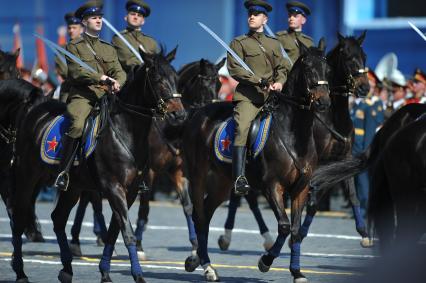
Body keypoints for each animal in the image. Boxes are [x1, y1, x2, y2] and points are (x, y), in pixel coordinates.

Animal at [134, 58, 226, 262]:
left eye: (220, 84)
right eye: (204, 84)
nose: (216, 110)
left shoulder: (178, 172)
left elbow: (188, 207)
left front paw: (195, 246)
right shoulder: (149, 171)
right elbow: (144, 208)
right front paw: (138, 247)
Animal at [182, 40, 330, 283]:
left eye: (328, 69)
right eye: (308, 69)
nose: (323, 102)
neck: (294, 134)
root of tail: (197, 114)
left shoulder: (300, 189)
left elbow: (296, 231)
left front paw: (297, 272)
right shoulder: (272, 187)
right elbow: (284, 226)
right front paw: (265, 261)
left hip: (222, 184)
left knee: (206, 214)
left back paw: (198, 261)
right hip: (198, 176)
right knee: (200, 216)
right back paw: (207, 267)